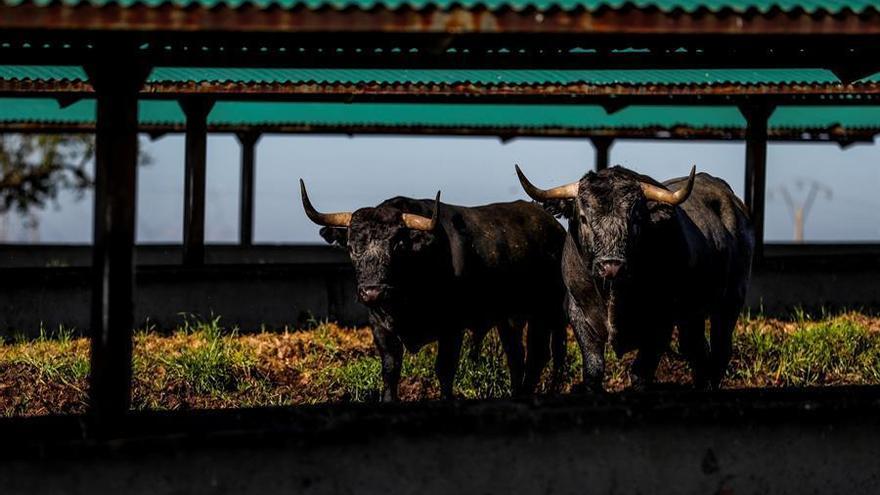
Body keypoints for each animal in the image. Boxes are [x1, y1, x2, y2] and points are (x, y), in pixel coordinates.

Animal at [300, 182, 568, 404]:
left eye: (397, 244)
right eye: (352, 247)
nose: (373, 292)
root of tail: (552, 224)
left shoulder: (452, 327)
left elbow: (444, 369)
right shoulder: (380, 326)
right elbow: (390, 370)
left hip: (544, 311)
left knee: (537, 355)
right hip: (509, 318)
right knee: (516, 356)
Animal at [516, 166, 756, 392]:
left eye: (635, 219)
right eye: (583, 218)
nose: (611, 266)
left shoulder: (661, 322)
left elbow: (641, 373)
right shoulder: (579, 314)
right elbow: (593, 370)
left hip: (730, 301)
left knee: (720, 350)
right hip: (692, 314)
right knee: (696, 349)